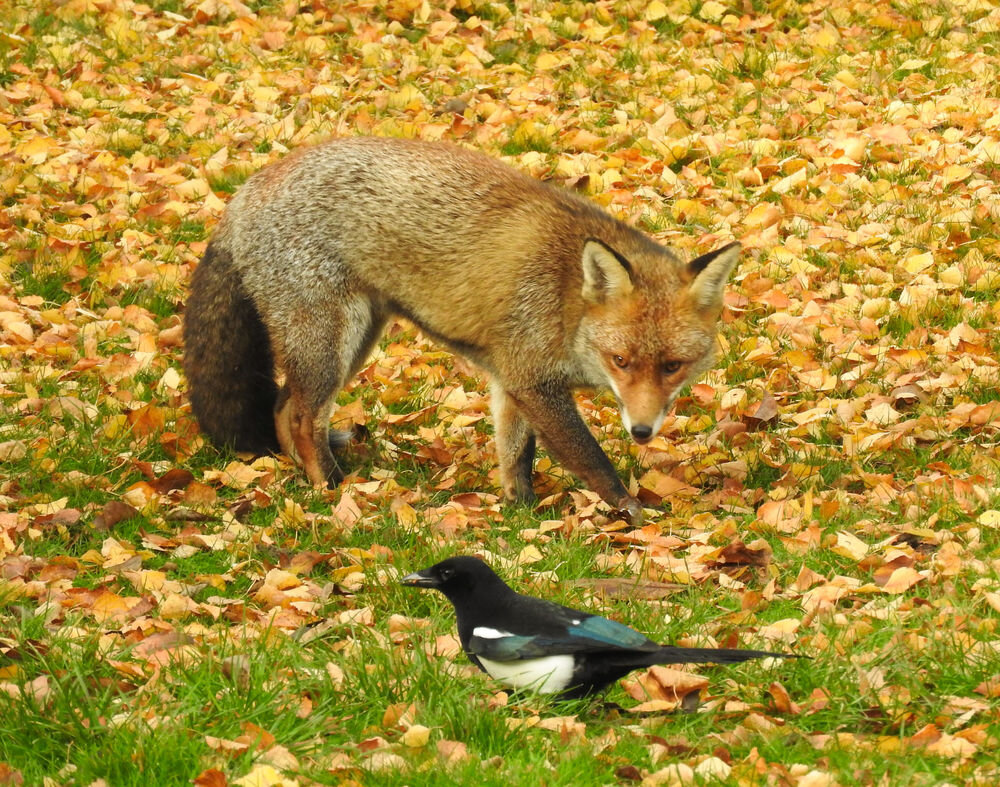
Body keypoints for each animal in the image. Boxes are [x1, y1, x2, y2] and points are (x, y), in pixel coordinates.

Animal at [184, 139, 740, 528]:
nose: (642, 432)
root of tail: (246, 191)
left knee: (283, 408)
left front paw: (519, 512)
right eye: (621, 361)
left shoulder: (513, 380)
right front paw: (628, 510)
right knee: (302, 417)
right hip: (329, 343)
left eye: (672, 366)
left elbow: (516, 455)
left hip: (356, 340)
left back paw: (304, 475)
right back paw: (332, 491)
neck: (566, 302)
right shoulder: (534, 380)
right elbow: (589, 457)